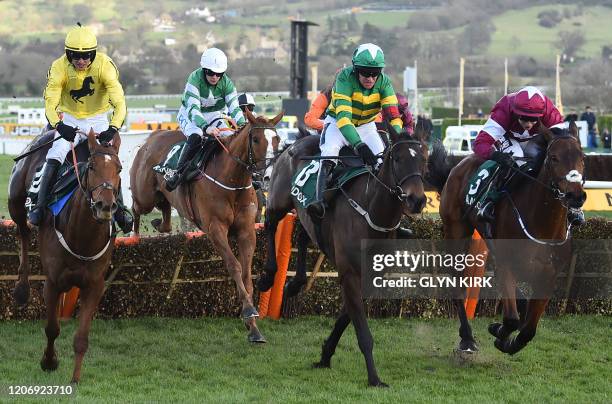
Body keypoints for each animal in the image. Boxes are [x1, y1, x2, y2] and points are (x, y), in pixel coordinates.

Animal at [8, 129, 122, 382]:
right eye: (92, 167)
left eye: (119, 168)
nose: (105, 205)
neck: (82, 238)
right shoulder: (52, 283)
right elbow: (52, 328)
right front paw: (49, 362)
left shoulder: (94, 286)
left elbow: (81, 339)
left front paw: (75, 378)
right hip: (15, 201)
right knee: (22, 231)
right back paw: (21, 288)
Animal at [130, 109, 284, 342]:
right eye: (256, 139)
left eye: (277, 139)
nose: (266, 176)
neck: (232, 181)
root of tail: (153, 136)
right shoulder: (215, 229)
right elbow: (234, 266)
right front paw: (249, 311)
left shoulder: (247, 230)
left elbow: (247, 274)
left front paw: (253, 327)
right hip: (144, 196)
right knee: (135, 208)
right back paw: (133, 234)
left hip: (165, 195)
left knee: (165, 213)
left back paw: (158, 223)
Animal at [260, 122, 428, 386]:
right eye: (398, 159)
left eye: (423, 159)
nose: (417, 200)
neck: (370, 212)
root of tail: (299, 140)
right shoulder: (349, 274)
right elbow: (363, 332)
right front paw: (374, 378)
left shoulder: (371, 276)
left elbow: (345, 317)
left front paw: (325, 354)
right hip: (279, 199)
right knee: (270, 224)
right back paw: (268, 275)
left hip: (309, 216)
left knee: (304, 235)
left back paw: (296, 283)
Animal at [428, 122, 584, 354]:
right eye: (554, 157)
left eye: (582, 157)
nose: (576, 196)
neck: (542, 226)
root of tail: (458, 166)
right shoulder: (507, 266)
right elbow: (511, 320)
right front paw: (498, 331)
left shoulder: (548, 276)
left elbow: (528, 330)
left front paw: (508, 342)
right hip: (455, 230)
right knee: (458, 285)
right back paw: (467, 338)